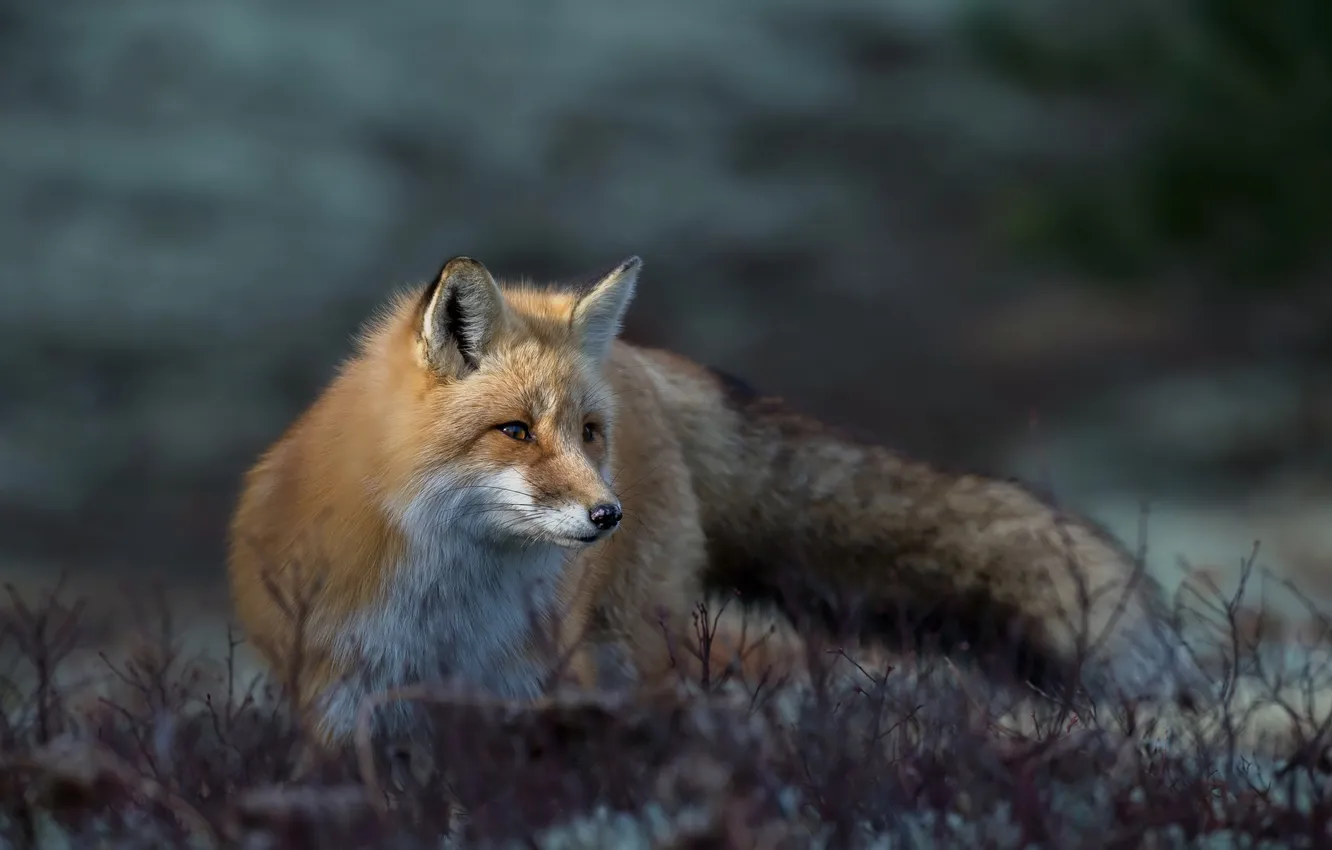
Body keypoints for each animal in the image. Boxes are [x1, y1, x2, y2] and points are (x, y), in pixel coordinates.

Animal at [227, 254, 1208, 747]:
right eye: (515, 431)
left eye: (588, 432)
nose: (606, 516)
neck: (448, 607)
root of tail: (648, 359)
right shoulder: (341, 702)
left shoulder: (523, 693)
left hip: (633, 648)